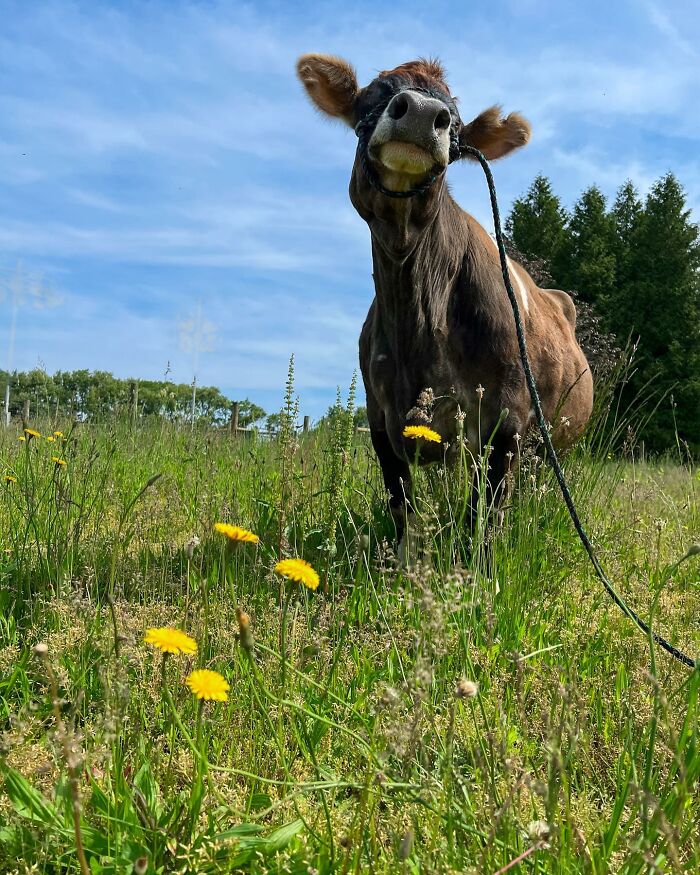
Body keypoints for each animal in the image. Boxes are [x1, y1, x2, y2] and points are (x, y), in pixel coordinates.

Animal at [296, 54, 593, 553]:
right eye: (373, 95)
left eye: (453, 120)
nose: (419, 112)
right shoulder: (382, 419)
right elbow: (401, 506)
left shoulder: (507, 420)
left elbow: (484, 520)